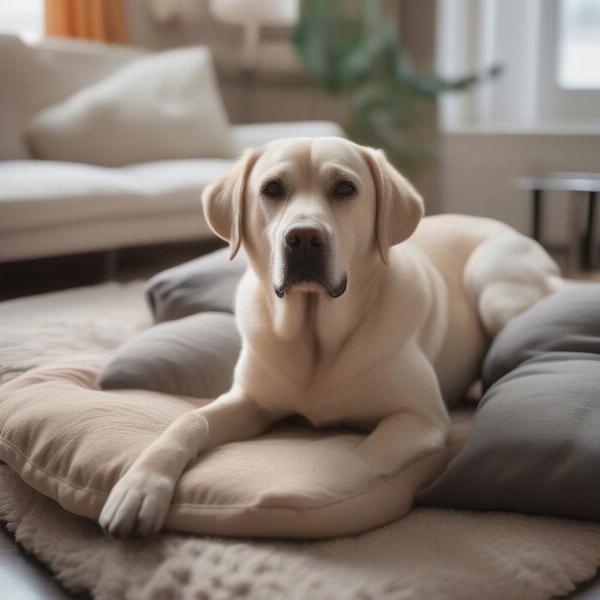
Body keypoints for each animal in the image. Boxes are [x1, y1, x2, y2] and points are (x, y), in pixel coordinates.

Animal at [98, 137, 556, 540]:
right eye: (272, 189)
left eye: (344, 189)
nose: (303, 238)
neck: (314, 336)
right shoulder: (250, 399)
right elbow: (187, 421)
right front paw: (139, 488)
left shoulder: (420, 416)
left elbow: (363, 459)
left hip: (493, 287)